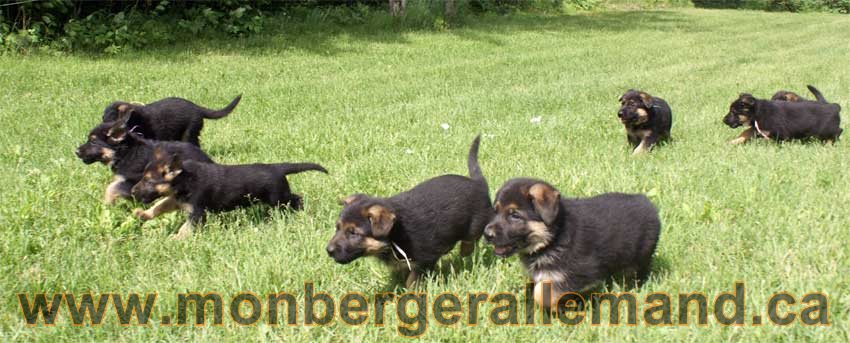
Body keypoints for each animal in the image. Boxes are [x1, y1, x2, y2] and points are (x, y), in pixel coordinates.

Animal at [76, 109, 212, 204]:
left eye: (93, 142)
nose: (76, 151)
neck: (125, 154)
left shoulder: (134, 179)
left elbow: (111, 188)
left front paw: (107, 204)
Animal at [131, 149, 326, 241]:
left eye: (148, 181)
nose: (132, 191)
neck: (184, 179)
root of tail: (277, 167)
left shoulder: (197, 213)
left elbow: (185, 228)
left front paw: (176, 238)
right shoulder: (177, 200)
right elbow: (159, 206)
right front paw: (143, 214)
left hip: (278, 198)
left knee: (296, 199)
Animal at [322, 136, 490, 288]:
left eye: (353, 233)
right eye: (337, 228)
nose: (328, 251)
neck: (394, 234)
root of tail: (478, 183)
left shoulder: (423, 260)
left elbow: (412, 281)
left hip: (475, 226)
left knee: (469, 242)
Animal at [480, 179, 660, 310]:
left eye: (515, 215)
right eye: (496, 211)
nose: (487, 234)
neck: (553, 238)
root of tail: (648, 203)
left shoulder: (578, 272)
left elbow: (541, 292)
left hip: (640, 258)